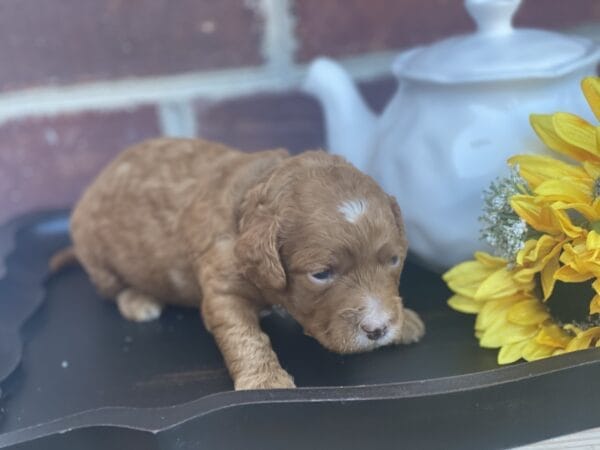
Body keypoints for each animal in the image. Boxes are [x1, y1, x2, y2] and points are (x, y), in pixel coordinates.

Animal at [55, 139, 422, 388]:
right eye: (321, 274)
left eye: (394, 259)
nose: (378, 328)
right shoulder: (222, 286)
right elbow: (242, 335)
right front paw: (265, 380)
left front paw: (404, 322)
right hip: (99, 260)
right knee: (113, 288)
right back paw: (139, 300)